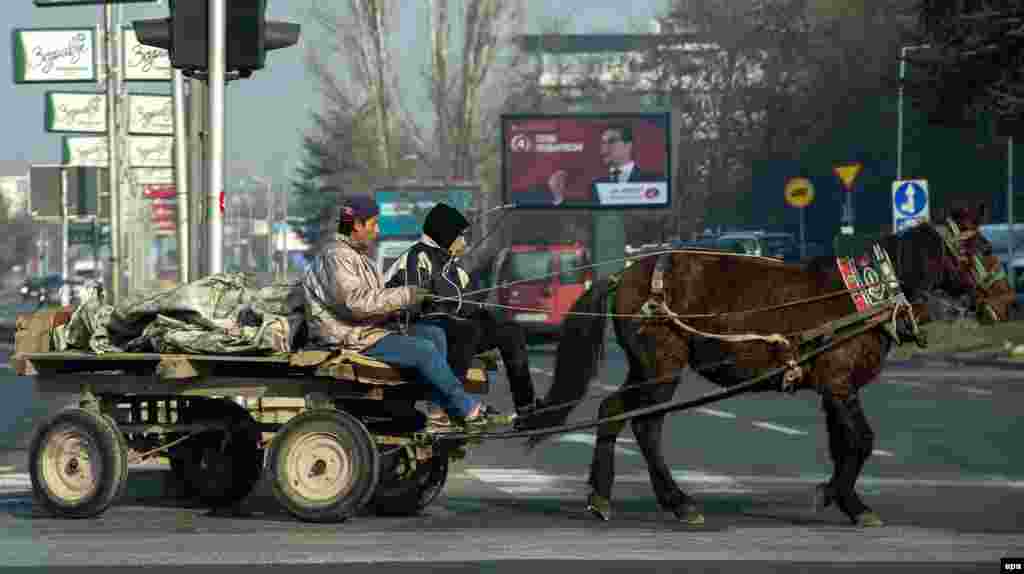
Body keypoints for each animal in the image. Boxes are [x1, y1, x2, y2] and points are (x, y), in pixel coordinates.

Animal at [524, 219, 1011, 527]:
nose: (1008, 302)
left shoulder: (833, 389)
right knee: (647, 426)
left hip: (644, 368)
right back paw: (679, 502)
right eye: (984, 249)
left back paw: (601, 495)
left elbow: (843, 445)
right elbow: (862, 440)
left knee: (612, 410)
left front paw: (840, 496)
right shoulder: (839, 383)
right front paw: (844, 500)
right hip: (663, 367)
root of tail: (623, 275)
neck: (864, 294)